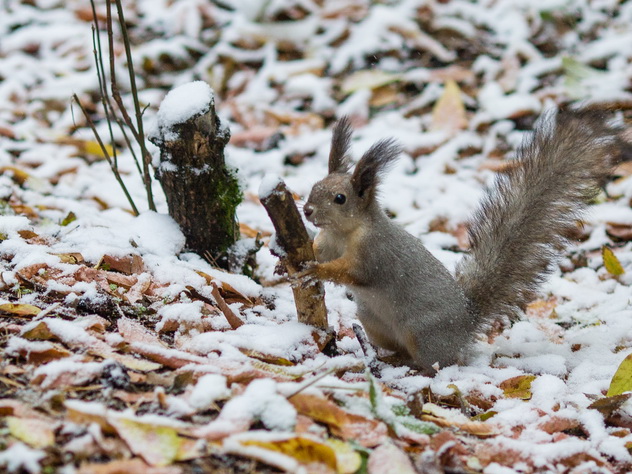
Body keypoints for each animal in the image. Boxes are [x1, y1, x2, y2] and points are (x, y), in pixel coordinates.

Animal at [302, 109, 624, 372]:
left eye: (340, 198)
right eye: (314, 186)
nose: (307, 211)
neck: (343, 233)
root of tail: (467, 323)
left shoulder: (374, 253)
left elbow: (352, 271)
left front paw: (315, 271)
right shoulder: (328, 242)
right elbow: (319, 251)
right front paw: (295, 257)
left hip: (422, 333)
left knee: (435, 363)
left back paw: (412, 367)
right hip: (373, 322)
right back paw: (388, 357)